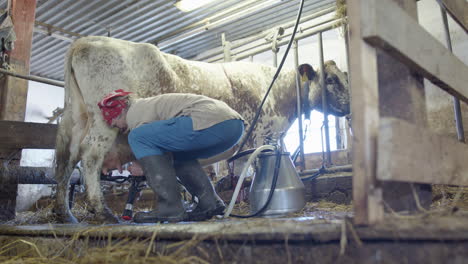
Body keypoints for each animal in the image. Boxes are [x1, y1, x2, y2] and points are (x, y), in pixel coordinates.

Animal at [53, 35, 350, 223]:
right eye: (331, 80)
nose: (348, 107)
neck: (279, 90)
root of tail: (83, 41)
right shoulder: (261, 132)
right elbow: (250, 168)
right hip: (101, 124)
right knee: (89, 157)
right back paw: (102, 211)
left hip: (73, 121)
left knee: (65, 161)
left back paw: (63, 214)